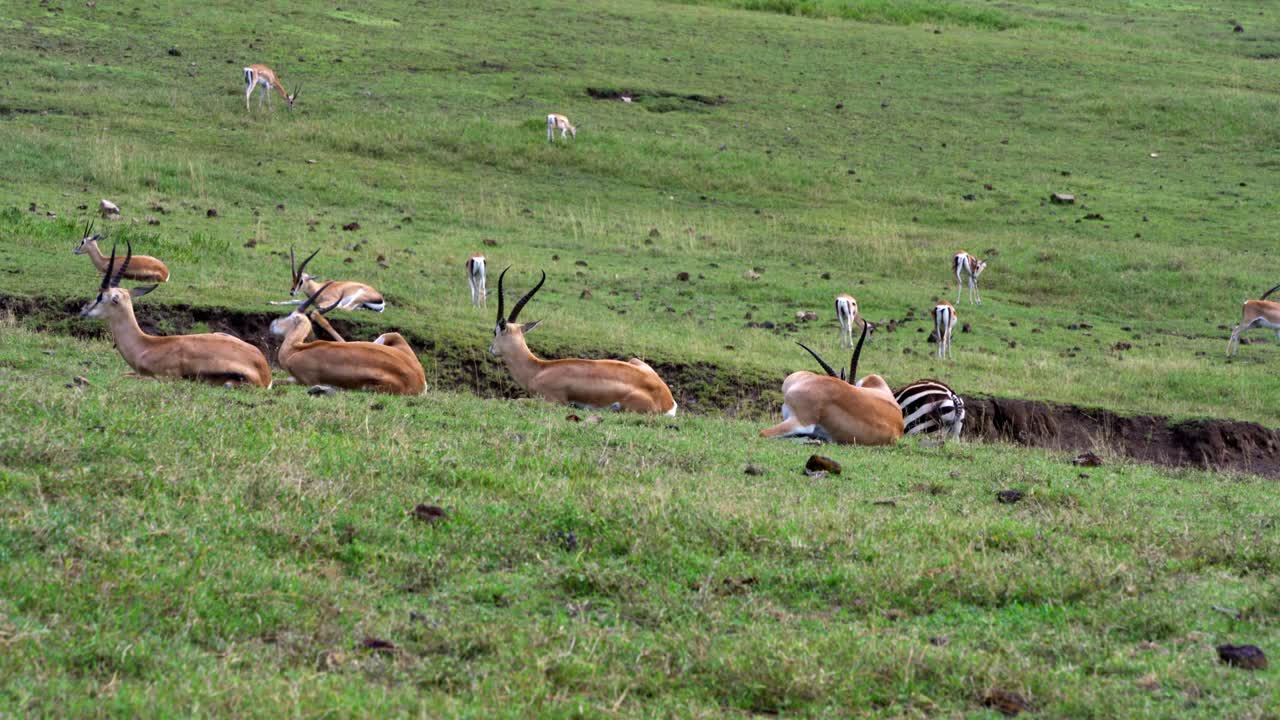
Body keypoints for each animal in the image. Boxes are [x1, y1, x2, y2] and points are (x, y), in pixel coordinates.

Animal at [271, 284, 426, 395]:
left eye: (290, 316)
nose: (272, 324)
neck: (295, 350)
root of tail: (420, 380)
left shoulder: (301, 380)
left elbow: (275, 381)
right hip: (390, 336)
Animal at [490, 268, 677, 414]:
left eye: (495, 331)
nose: (491, 349)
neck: (538, 370)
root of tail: (668, 400)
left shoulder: (553, 401)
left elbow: (515, 400)